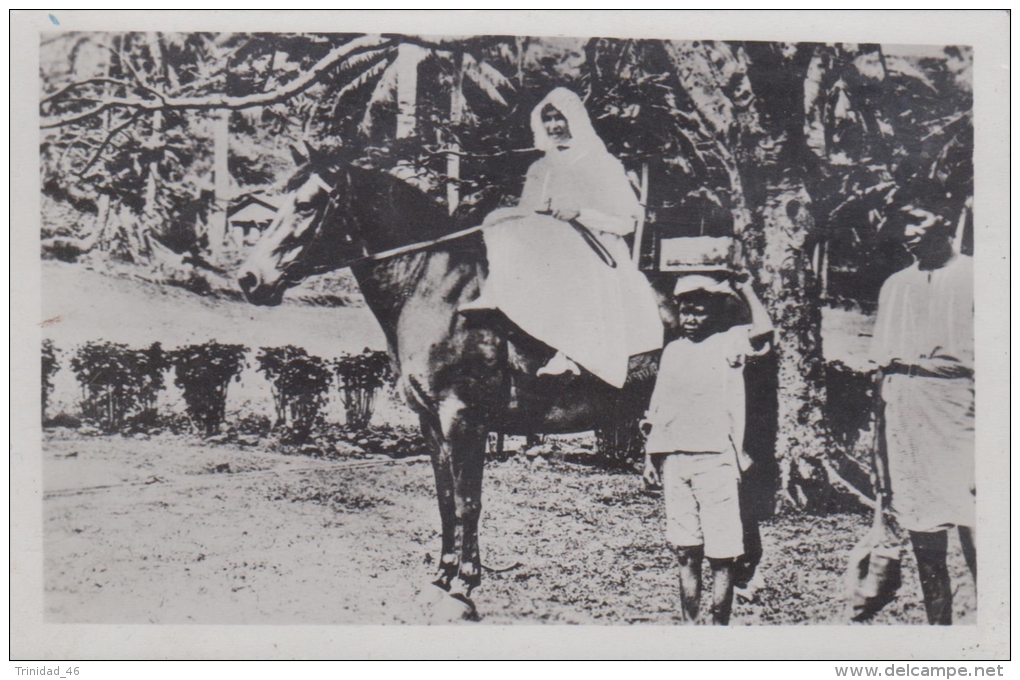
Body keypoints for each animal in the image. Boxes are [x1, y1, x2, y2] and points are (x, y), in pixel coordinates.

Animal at [240, 143, 660, 623]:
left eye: (307, 204)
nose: (249, 279)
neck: (436, 289)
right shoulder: (431, 422)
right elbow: (444, 500)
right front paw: (441, 578)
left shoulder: (464, 420)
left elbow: (467, 501)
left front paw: (464, 586)